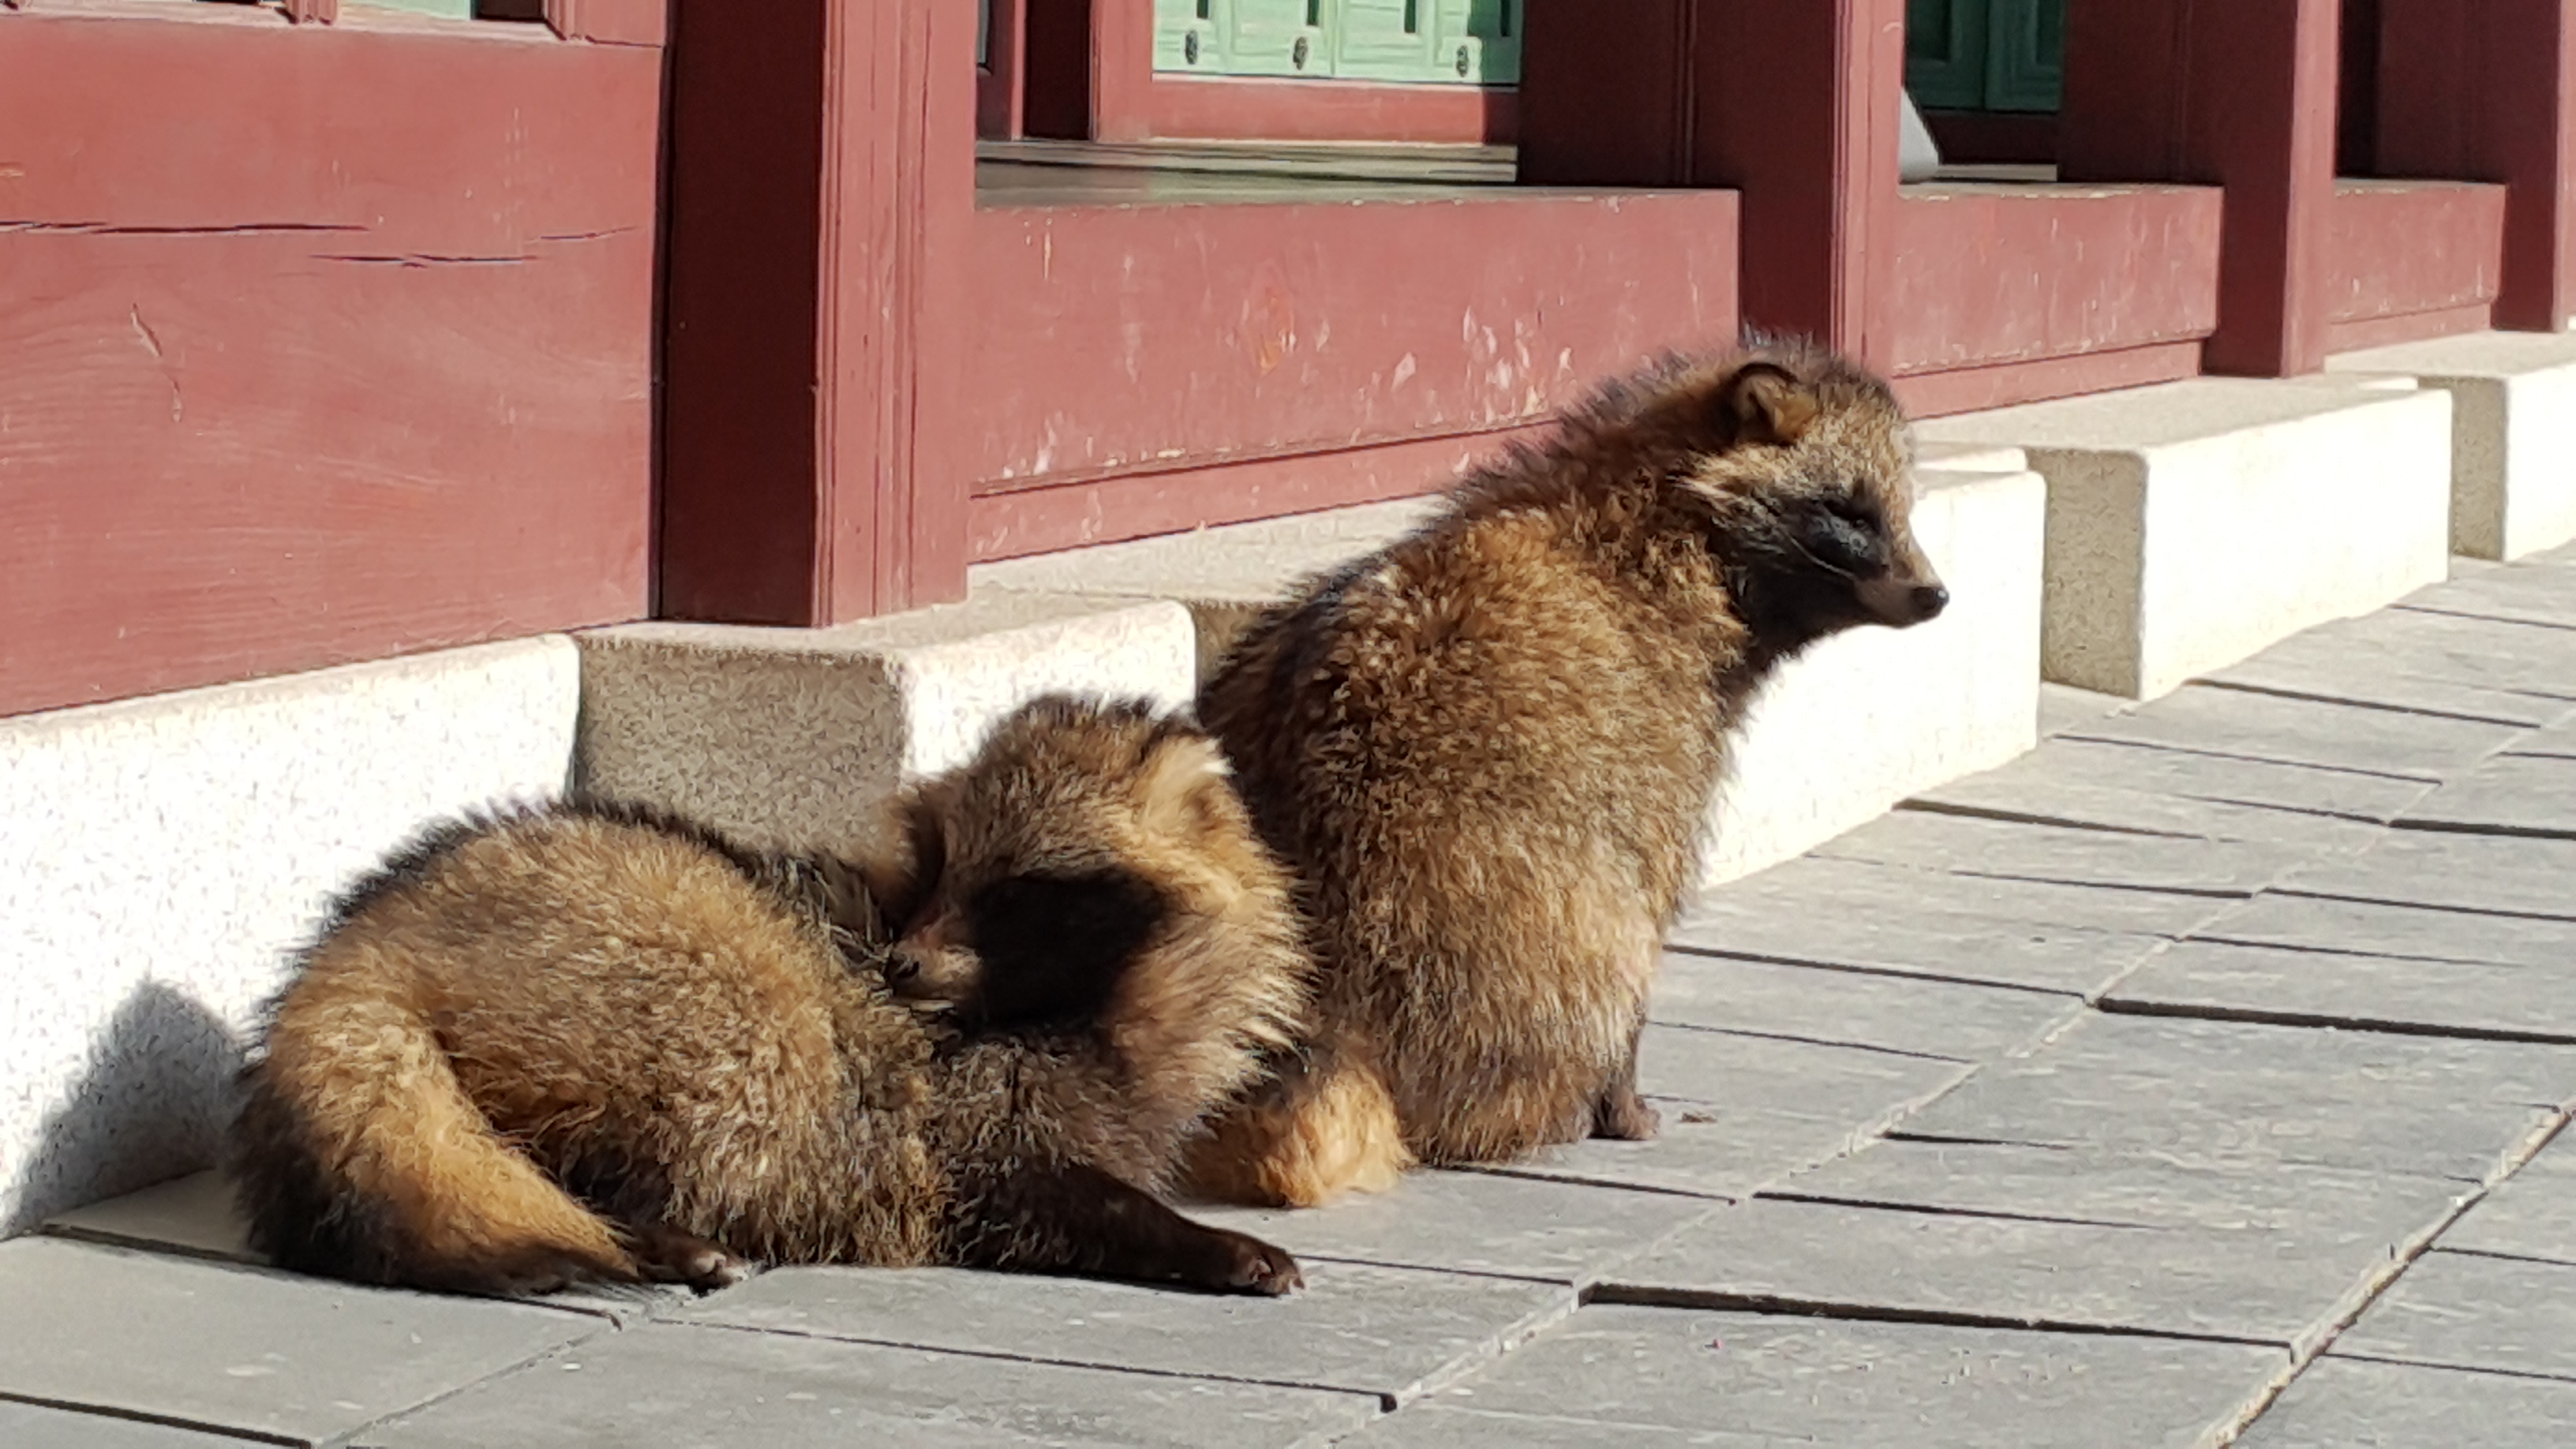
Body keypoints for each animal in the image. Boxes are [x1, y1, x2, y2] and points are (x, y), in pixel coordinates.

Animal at [234, 696, 1319, 1289]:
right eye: (941, 870)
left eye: (1012, 892)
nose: (899, 965)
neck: (1101, 1004)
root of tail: (375, 926)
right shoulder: (958, 1130)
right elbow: (1031, 1190)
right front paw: (1200, 1241)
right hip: (688, 981)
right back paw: (647, 1225)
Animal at [1195, 332, 1937, 1201]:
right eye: (1848, 513)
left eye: (1899, 509)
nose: (1935, 594)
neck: (1651, 525)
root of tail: (1339, 1021)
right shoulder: (1656, 734)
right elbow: (1648, 905)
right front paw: (1626, 1101)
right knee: (1599, 944)